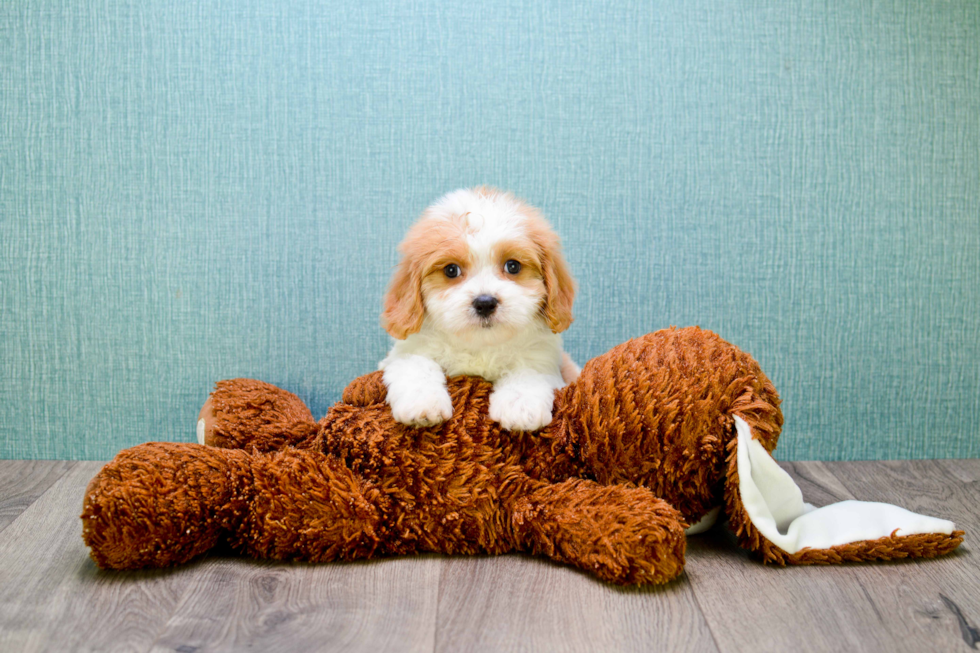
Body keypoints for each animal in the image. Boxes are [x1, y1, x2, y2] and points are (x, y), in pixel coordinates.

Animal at [378, 186, 580, 430]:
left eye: (513, 266)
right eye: (451, 270)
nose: (485, 303)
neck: (480, 347)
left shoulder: (543, 357)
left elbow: (529, 371)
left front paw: (521, 406)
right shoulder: (406, 351)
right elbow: (415, 365)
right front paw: (423, 404)